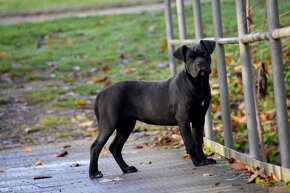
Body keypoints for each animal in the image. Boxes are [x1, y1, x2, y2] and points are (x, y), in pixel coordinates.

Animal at [89, 40, 216, 179]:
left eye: (204, 55)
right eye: (190, 58)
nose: (199, 64)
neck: (198, 84)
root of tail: (101, 93)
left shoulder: (199, 118)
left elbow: (198, 140)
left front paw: (205, 159)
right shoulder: (184, 119)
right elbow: (190, 141)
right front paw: (197, 161)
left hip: (126, 125)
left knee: (115, 147)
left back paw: (126, 168)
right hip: (109, 124)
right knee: (95, 147)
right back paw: (94, 173)